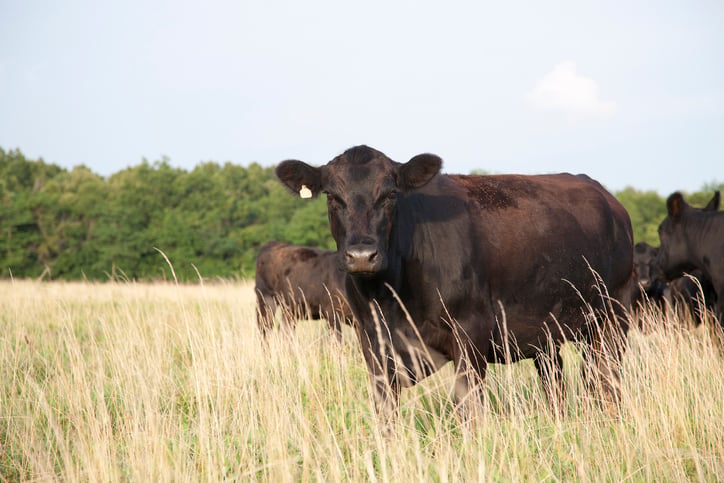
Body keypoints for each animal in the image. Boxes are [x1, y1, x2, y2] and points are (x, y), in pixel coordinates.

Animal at [276, 145, 634, 418]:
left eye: (391, 194)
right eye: (332, 196)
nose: (362, 255)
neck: (390, 297)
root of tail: (608, 198)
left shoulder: (471, 332)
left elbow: (469, 409)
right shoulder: (372, 340)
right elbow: (385, 411)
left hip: (611, 320)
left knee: (606, 381)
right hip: (547, 333)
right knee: (555, 382)